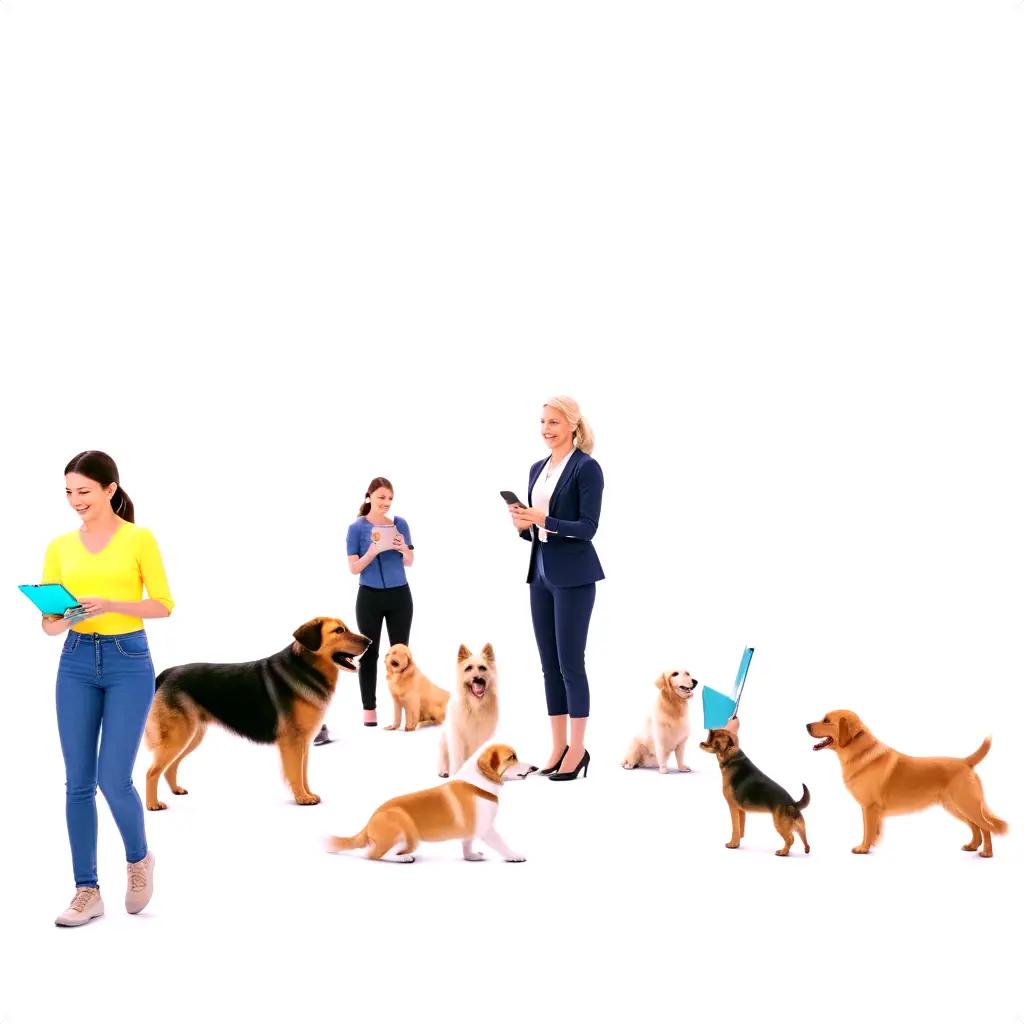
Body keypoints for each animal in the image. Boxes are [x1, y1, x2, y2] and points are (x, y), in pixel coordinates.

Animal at [144, 614, 368, 806]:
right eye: (339, 630)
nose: (370, 641)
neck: (306, 667)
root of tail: (166, 673)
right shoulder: (293, 742)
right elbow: (296, 773)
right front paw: (302, 798)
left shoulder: (303, 742)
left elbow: (304, 773)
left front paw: (308, 794)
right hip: (178, 736)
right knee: (152, 771)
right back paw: (153, 805)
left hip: (191, 736)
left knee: (170, 767)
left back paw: (176, 790)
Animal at [325, 745, 536, 864]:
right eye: (511, 757)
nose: (534, 768)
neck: (479, 784)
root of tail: (368, 823)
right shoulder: (486, 829)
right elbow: (501, 843)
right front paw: (513, 855)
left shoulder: (470, 832)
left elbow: (466, 846)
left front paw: (471, 856)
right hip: (407, 834)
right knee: (372, 854)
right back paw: (403, 858)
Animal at [438, 643, 501, 778]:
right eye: (468, 668)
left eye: (483, 668)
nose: (477, 679)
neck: (475, 706)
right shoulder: (456, 739)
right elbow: (456, 759)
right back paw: (444, 771)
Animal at [806, 704, 1007, 856]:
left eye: (826, 720)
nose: (806, 725)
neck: (859, 752)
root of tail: (965, 762)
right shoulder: (869, 809)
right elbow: (872, 831)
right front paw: (871, 845)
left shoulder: (869, 807)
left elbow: (867, 831)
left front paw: (863, 848)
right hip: (955, 806)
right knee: (975, 827)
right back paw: (972, 846)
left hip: (966, 804)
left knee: (986, 826)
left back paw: (987, 853)